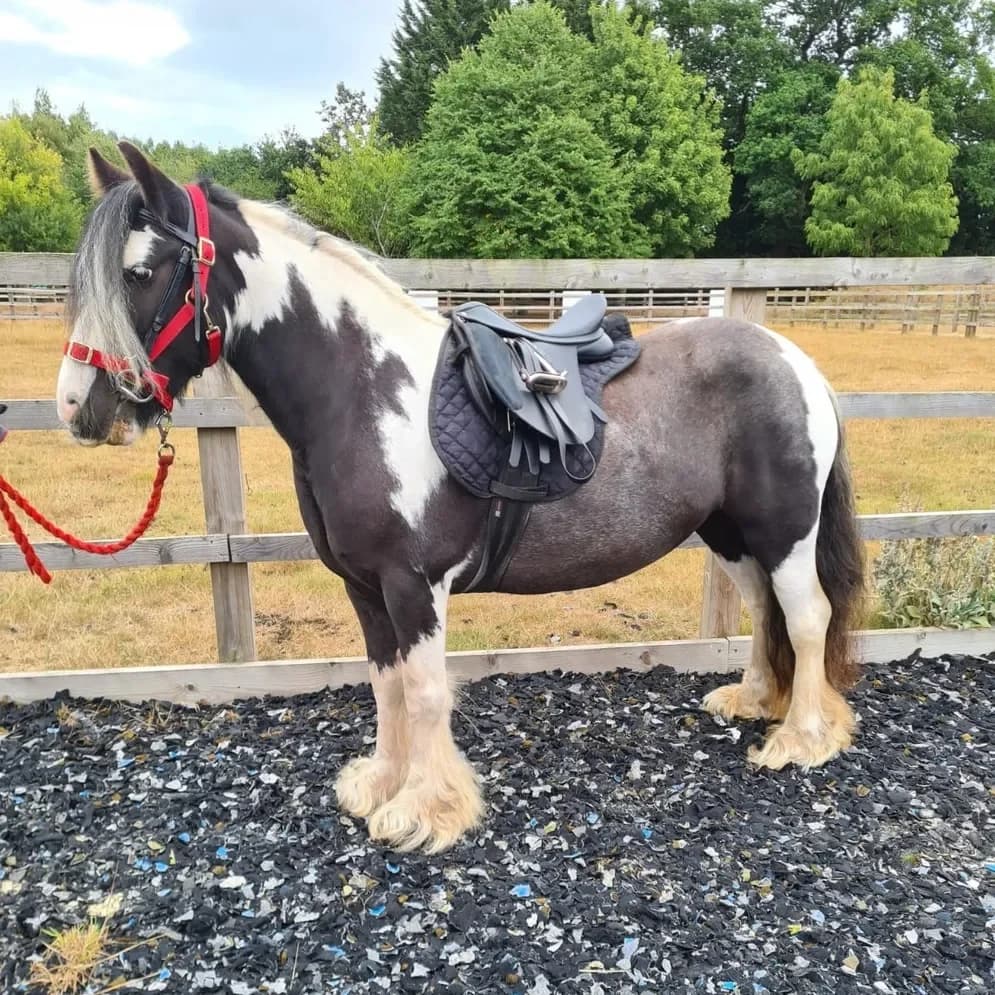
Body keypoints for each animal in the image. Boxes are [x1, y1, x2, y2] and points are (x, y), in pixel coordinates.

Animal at [55, 142, 865, 854]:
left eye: (142, 271)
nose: (77, 408)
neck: (362, 389)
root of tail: (798, 364)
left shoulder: (414, 584)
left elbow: (423, 693)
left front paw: (424, 811)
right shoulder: (364, 588)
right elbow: (385, 687)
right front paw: (379, 785)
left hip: (784, 533)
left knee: (806, 618)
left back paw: (799, 739)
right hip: (731, 533)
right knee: (764, 613)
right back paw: (754, 702)